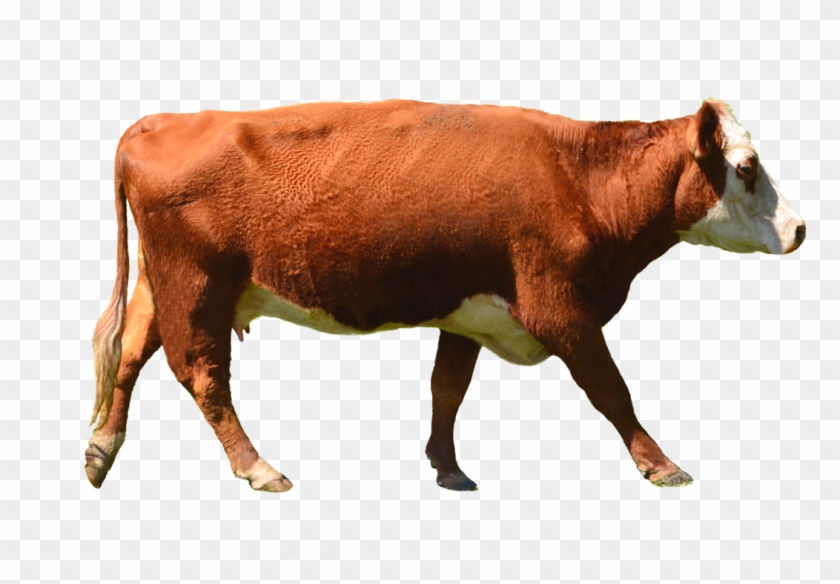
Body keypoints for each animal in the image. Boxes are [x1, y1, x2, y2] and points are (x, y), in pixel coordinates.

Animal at [85, 99, 805, 493]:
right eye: (746, 167)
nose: (800, 228)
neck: (582, 179)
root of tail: (156, 122)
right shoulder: (559, 307)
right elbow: (611, 389)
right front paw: (661, 465)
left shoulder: (467, 312)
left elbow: (447, 388)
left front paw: (447, 467)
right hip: (197, 285)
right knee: (203, 376)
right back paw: (258, 468)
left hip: (163, 284)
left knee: (129, 353)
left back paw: (101, 449)